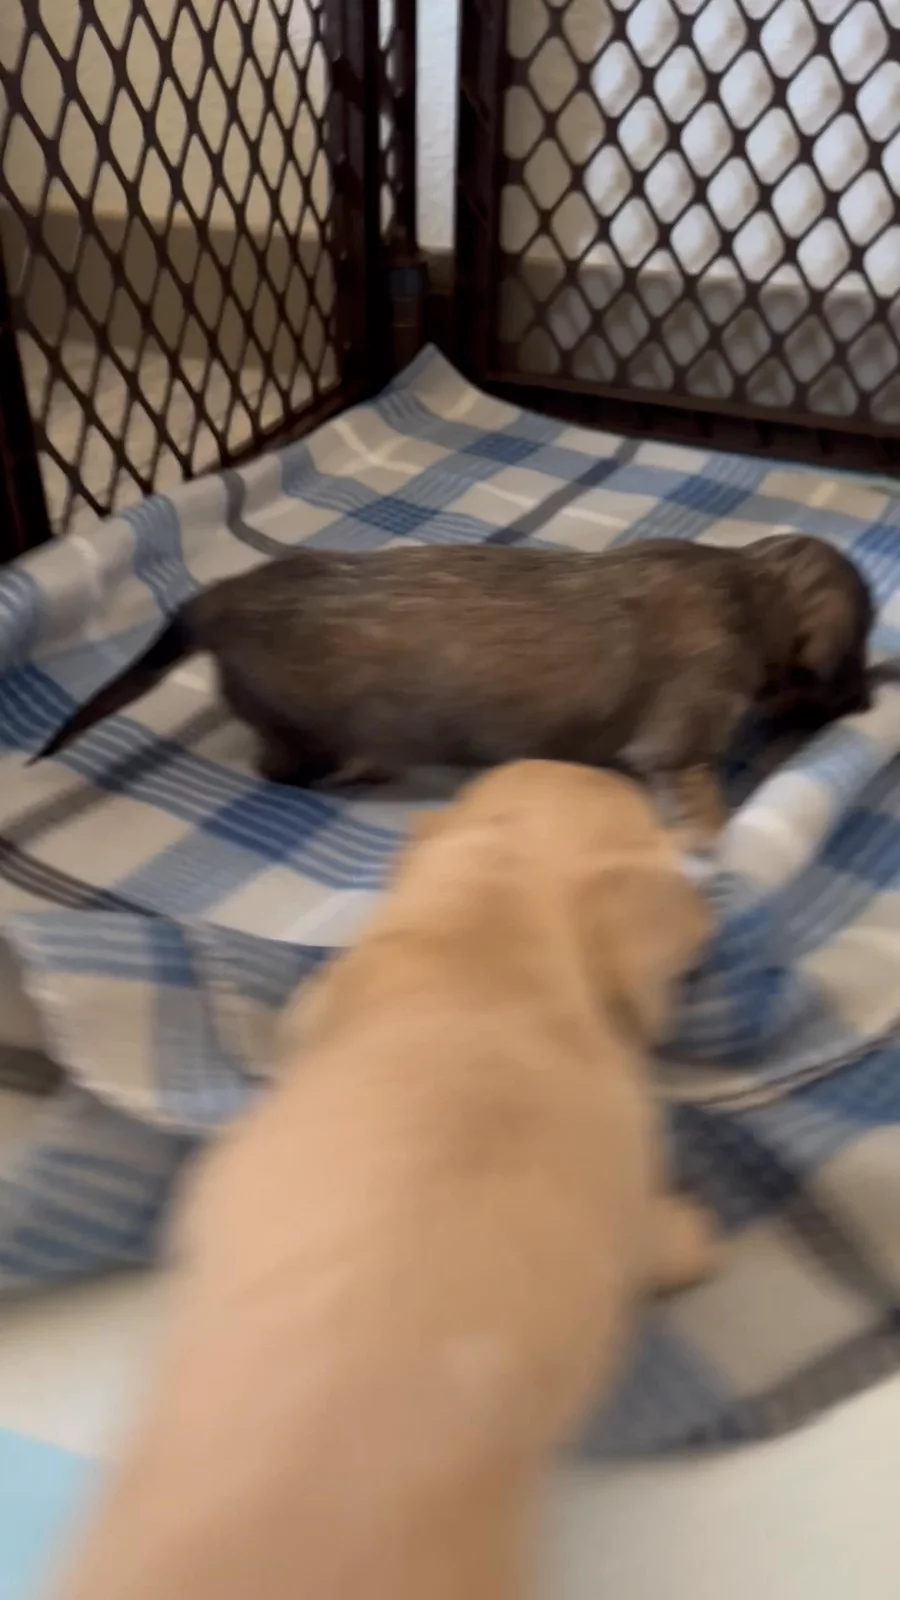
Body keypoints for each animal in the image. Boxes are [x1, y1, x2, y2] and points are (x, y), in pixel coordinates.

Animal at [33, 535, 872, 844]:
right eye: (854, 654)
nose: (867, 703)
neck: (750, 586)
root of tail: (217, 601)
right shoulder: (683, 739)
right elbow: (697, 792)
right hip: (301, 725)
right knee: (282, 767)